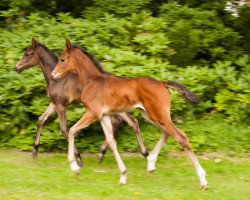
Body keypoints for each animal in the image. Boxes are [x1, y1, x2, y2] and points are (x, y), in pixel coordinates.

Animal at [15, 38, 148, 165]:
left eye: (27, 54)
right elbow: (41, 120)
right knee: (131, 122)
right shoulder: (54, 103)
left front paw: (78, 158)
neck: (56, 80)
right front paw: (34, 150)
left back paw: (104, 153)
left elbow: (64, 129)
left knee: (125, 121)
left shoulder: (61, 105)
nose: (16, 67)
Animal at [50, 39, 207, 190]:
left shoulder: (93, 113)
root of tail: (162, 83)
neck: (93, 81)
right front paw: (123, 176)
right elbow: (111, 142)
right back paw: (151, 164)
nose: (53, 75)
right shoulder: (104, 116)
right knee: (166, 133)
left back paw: (203, 180)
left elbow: (72, 130)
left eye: (62, 59)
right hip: (150, 115)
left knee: (181, 137)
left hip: (159, 116)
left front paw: (74, 167)